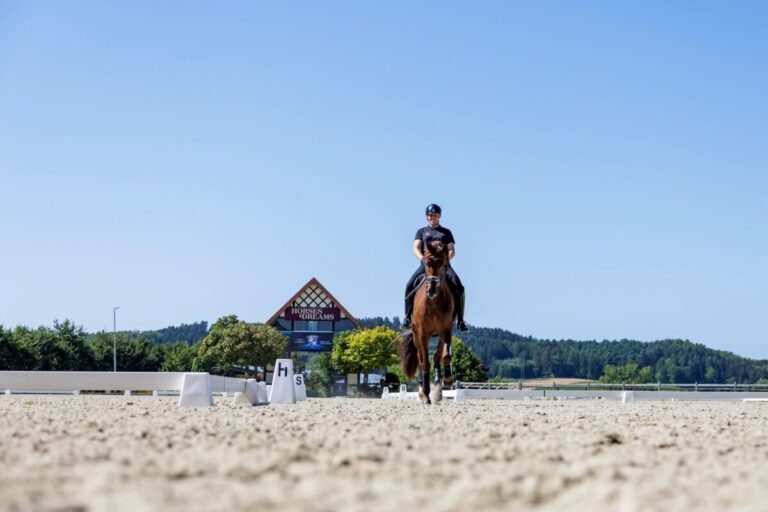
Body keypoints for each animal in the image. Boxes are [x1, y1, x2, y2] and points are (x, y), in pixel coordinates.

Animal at [398, 240, 455, 404]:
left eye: (443, 263)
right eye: (426, 262)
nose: (432, 289)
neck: (434, 302)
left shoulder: (446, 330)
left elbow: (445, 356)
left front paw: (446, 381)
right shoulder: (423, 334)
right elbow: (424, 362)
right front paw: (426, 393)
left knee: (436, 356)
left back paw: (437, 387)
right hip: (417, 335)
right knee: (420, 359)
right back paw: (422, 391)